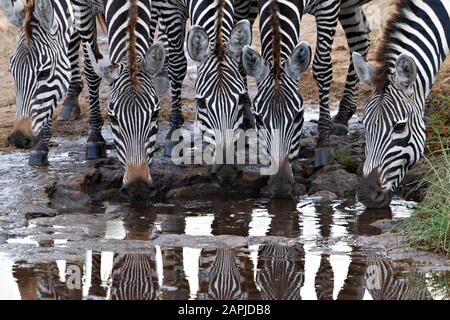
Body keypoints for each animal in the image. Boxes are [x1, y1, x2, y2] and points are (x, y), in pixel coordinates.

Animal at [155, 0, 253, 186]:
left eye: (240, 99)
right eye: (200, 103)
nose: (227, 173)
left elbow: (242, 59)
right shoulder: (169, 7)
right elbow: (178, 64)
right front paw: (173, 132)